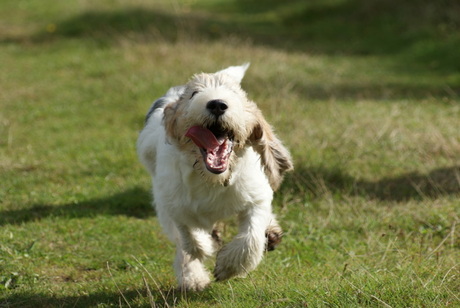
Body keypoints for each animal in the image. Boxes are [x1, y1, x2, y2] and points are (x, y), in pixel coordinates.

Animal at [137, 63, 294, 292]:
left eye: (234, 95)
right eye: (194, 94)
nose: (218, 104)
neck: (212, 179)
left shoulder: (256, 197)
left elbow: (251, 236)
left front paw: (228, 266)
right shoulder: (171, 203)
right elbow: (187, 234)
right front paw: (203, 248)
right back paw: (193, 278)